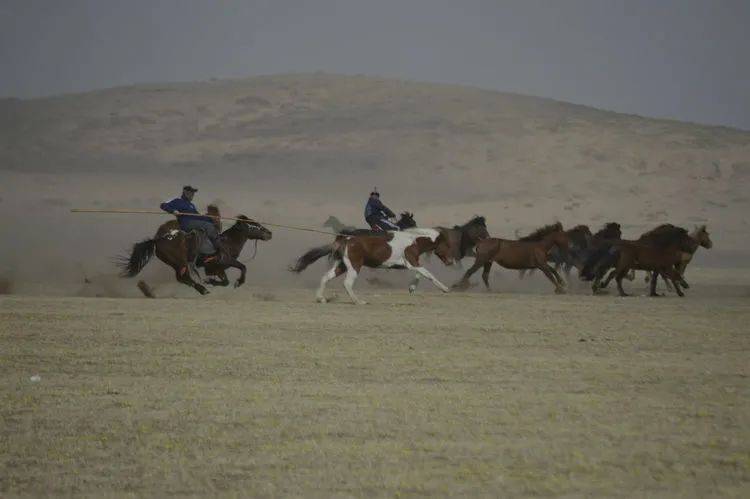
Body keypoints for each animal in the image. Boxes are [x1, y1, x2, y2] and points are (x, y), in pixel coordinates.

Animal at [122, 216, 274, 294]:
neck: (227, 242)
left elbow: (225, 282)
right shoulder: (226, 261)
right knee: (183, 277)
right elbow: (243, 267)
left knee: (182, 278)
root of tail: (157, 240)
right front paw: (238, 282)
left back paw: (202, 288)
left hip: (175, 264)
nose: (269, 233)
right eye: (254, 225)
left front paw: (211, 281)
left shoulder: (216, 268)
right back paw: (202, 289)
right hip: (180, 262)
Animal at [290, 228, 456, 304]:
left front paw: (412, 288)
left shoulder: (408, 265)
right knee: (347, 283)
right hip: (354, 266)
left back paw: (321, 298)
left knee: (326, 277)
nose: (451, 261)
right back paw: (359, 301)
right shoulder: (411, 263)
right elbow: (428, 274)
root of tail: (345, 240)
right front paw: (446, 289)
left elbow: (420, 274)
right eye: (447, 245)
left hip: (342, 266)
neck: (413, 241)